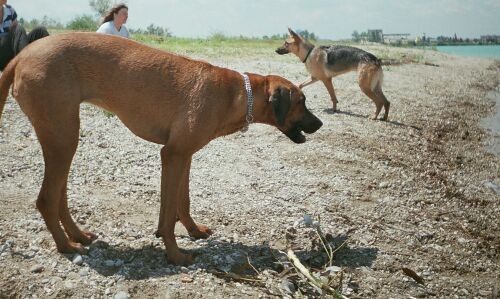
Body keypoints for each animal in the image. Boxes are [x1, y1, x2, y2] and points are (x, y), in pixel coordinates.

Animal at [0, 32, 322, 264]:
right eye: (302, 101)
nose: (319, 124)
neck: (237, 93)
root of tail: (21, 56)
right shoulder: (172, 155)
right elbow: (167, 216)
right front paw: (176, 255)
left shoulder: (184, 155)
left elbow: (182, 201)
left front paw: (193, 231)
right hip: (62, 138)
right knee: (46, 199)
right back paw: (66, 245)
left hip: (63, 138)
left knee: (59, 196)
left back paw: (78, 234)